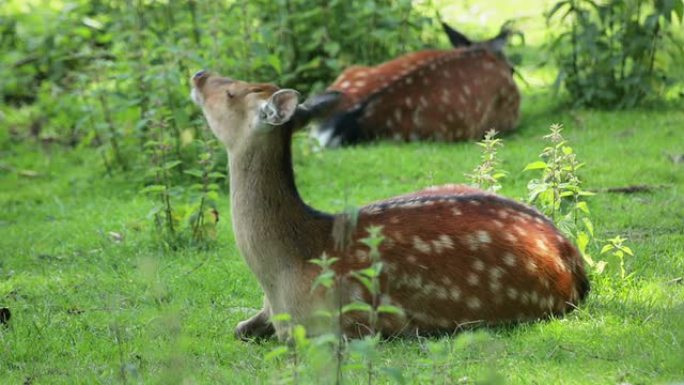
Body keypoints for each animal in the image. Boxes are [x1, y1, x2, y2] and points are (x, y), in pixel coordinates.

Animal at [191, 70, 588, 340]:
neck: (281, 276)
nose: (200, 74)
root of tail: (572, 256)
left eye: (232, 91)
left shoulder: (347, 324)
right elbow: (239, 328)